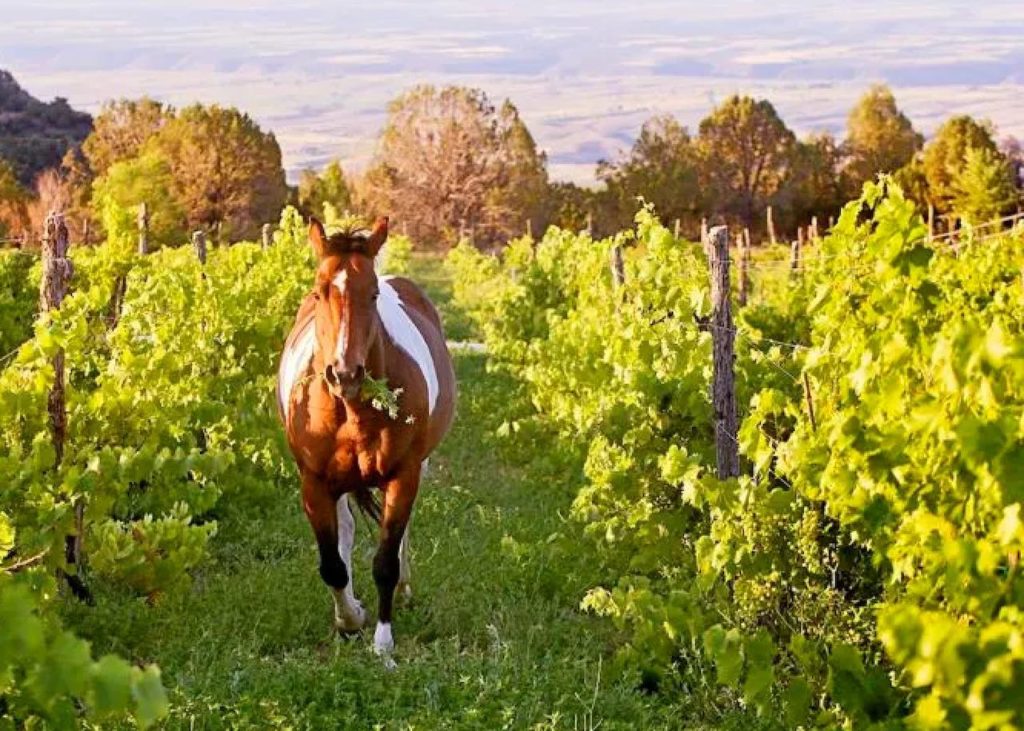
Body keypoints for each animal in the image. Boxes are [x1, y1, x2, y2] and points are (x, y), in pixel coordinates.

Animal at [278, 216, 458, 659]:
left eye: (373, 293)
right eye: (318, 291)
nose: (345, 373)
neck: (352, 411)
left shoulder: (404, 476)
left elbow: (385, 562)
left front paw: (383, 642)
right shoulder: (313, 482)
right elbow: (331, 564)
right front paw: (349, 619)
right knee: (344, 533)